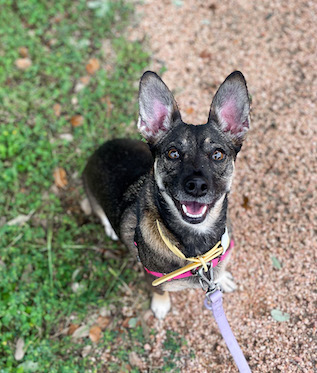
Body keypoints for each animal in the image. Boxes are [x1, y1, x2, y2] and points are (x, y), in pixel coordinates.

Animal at [82, 71, 251, 318]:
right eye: (173, 153)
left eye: (218, 154)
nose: (197, 185)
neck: (196, 249)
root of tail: (103, 147)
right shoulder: (151, 276)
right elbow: (160, 290)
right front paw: (161, 305)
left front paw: (222, 278)